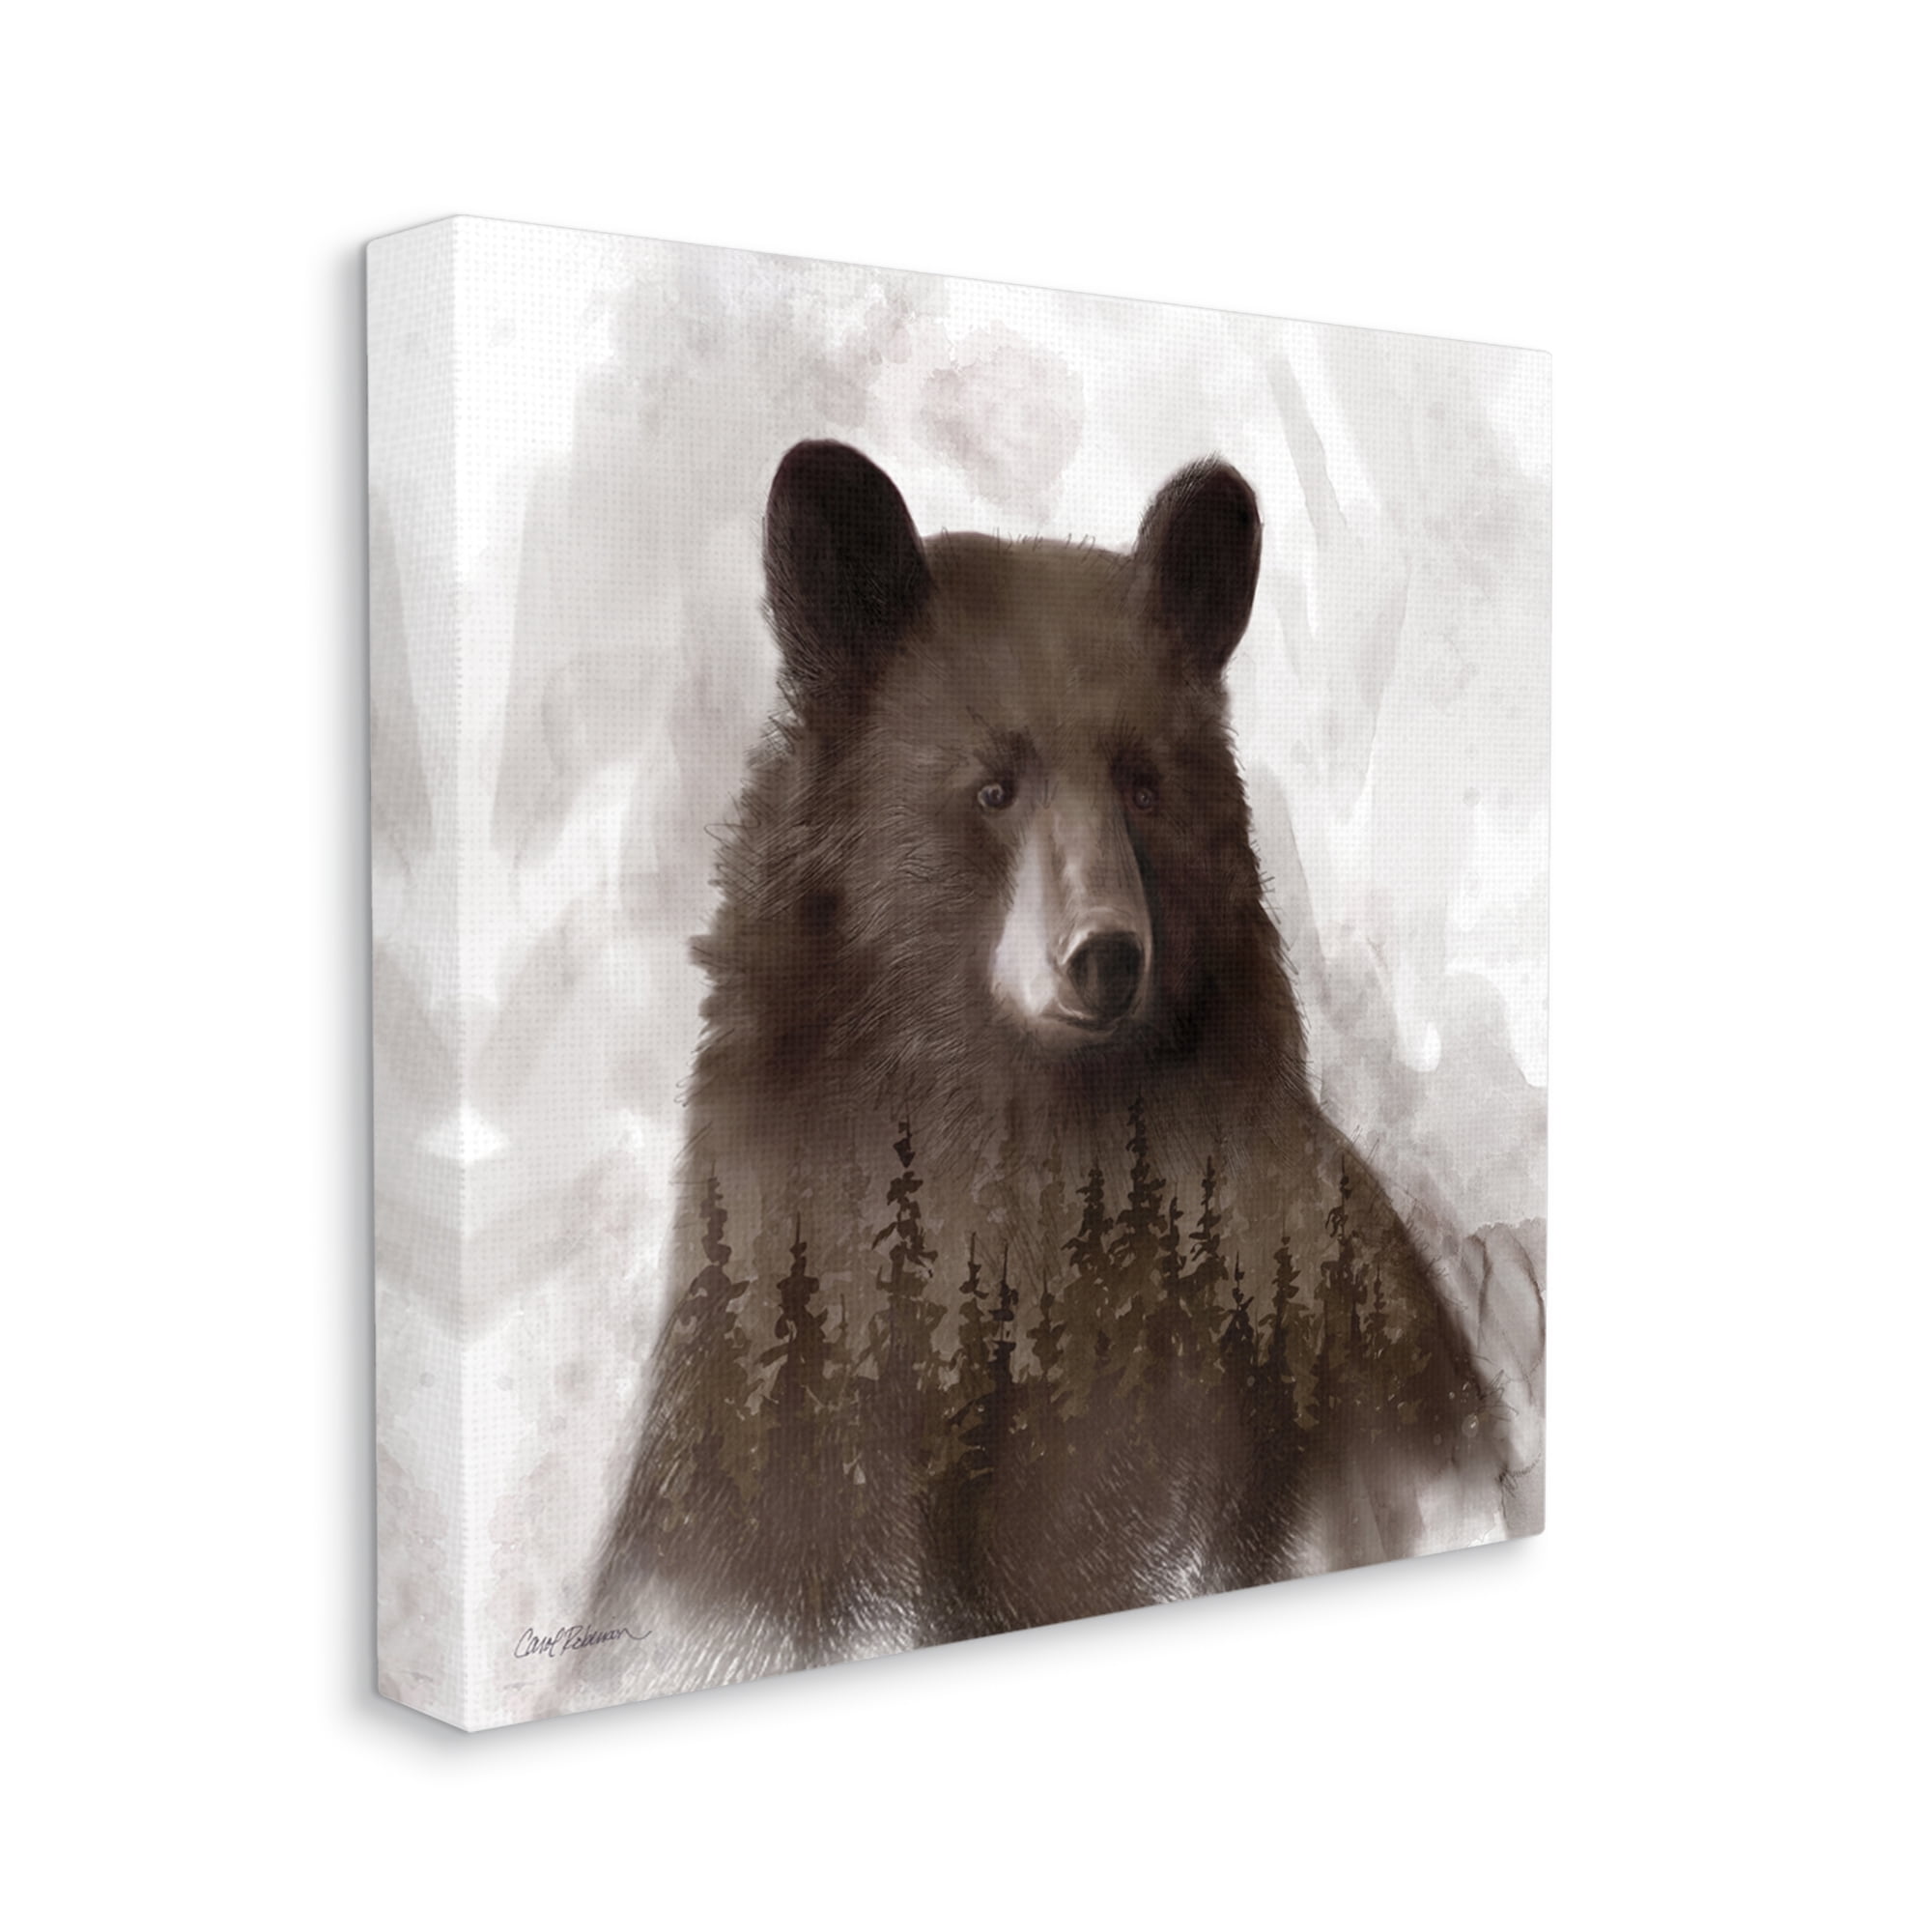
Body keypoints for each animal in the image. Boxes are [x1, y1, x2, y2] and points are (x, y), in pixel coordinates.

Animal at [582, 441, 1507, 1702]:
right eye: (992, 785)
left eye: (1144, 783)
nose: (1106, 955)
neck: (1010, 1140)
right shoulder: (786, 1328)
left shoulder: (1213, 1347)